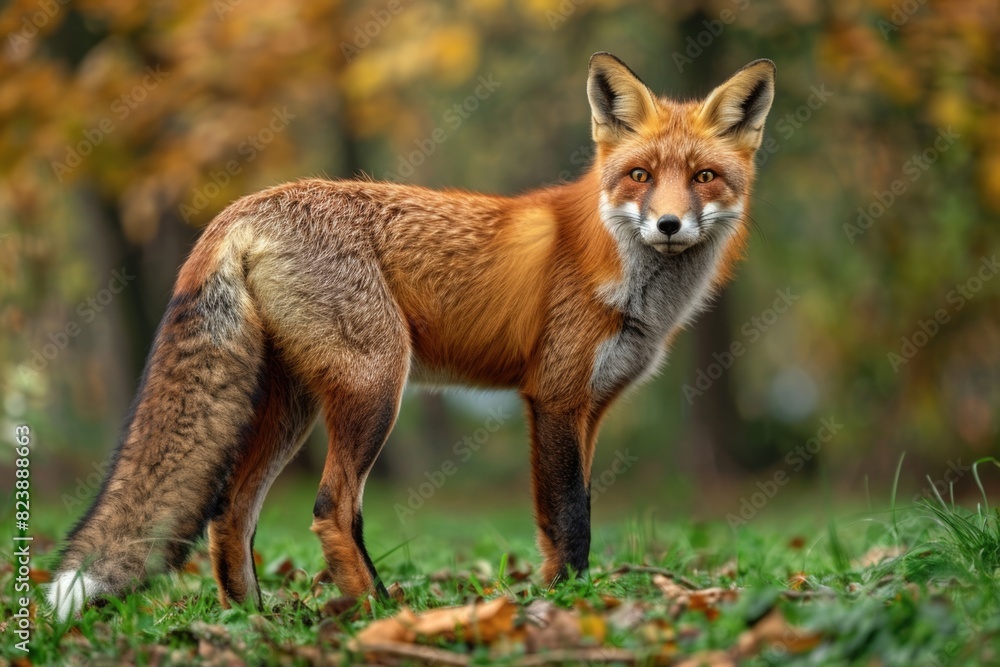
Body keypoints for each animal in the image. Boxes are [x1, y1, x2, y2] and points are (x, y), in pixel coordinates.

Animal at [48, 52, 775, 619]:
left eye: (705, 176)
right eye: (640, 175)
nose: (670, 225)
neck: (620, 266)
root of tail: (244, 205)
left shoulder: (588, 409)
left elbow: (566, 520)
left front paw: (558, 597)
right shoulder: (554, 397)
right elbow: (571, 520)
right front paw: (571, 604)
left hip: (294, 406)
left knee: (231, 512)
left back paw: (254, 620)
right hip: (376, 385)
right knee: (330, 506)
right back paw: (376, 609)